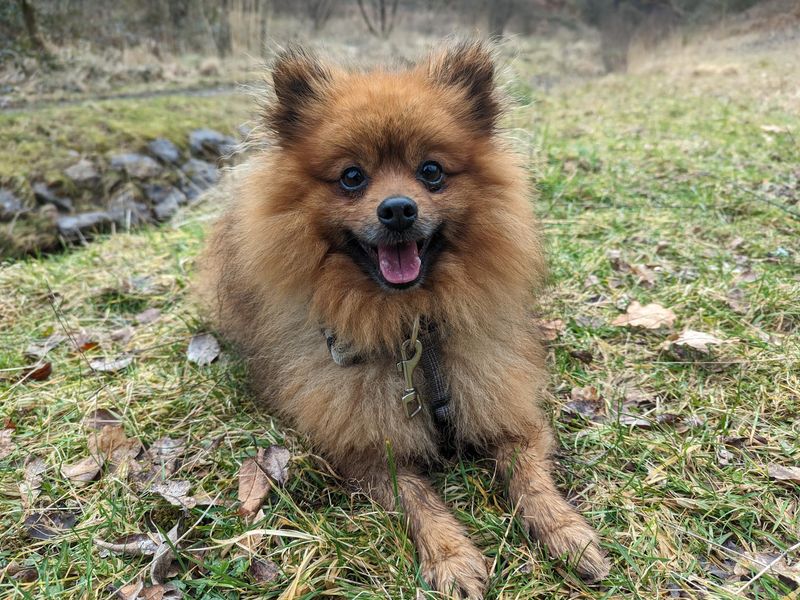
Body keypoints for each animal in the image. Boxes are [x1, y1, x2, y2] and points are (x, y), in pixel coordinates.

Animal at [200, 39, 608, 596]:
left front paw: (566, 531)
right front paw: (451, 556)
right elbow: (418, 500)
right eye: (352, 177)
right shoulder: (368, 452)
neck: (412, 328)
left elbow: (529, 476)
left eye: (431, 171)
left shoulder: (508, 410)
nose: (397, 209)